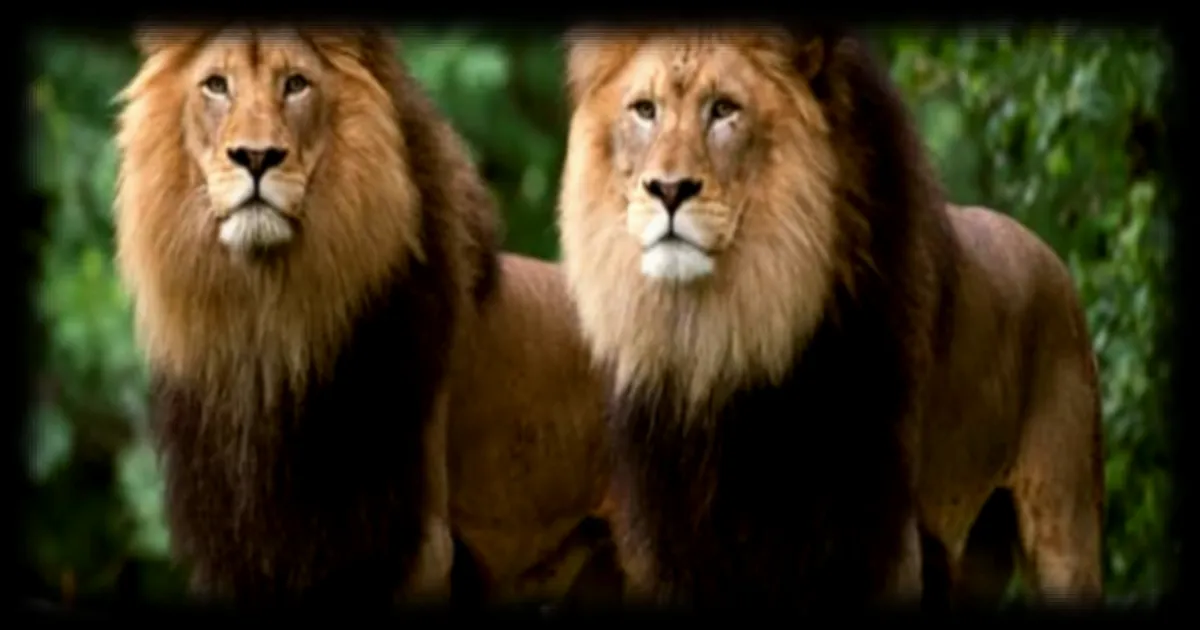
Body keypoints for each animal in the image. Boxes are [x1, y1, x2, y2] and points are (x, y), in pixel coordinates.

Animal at [113, 25, 619, 606]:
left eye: (296, 84)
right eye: (216, 85)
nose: (256, 158)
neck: (265, 326)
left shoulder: (414, 550)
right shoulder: (242, 554)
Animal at [557, 26, 1104, 609]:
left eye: (724, 109)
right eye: (645, 110)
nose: (668, 190)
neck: (720, 342)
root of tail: (1052, 259)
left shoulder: (870, 536)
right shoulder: (671, 542)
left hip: (1065, 523)